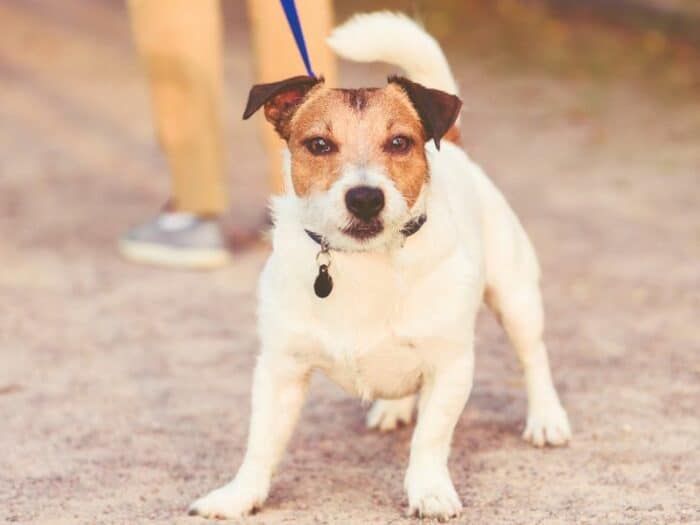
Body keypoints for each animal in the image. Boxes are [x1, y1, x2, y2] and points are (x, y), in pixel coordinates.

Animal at [189, 12, 572, 520]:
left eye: (399, 142)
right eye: (319, 144)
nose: (366, 197)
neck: (362, 263)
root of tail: (455, 146)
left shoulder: (450, 366)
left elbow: (430, 439)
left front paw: (429, 491)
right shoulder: (280, 369)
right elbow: (261, 443)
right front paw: (239, 496)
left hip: (516, 298)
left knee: (534, 357)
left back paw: (547, 418)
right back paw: (394, 408)